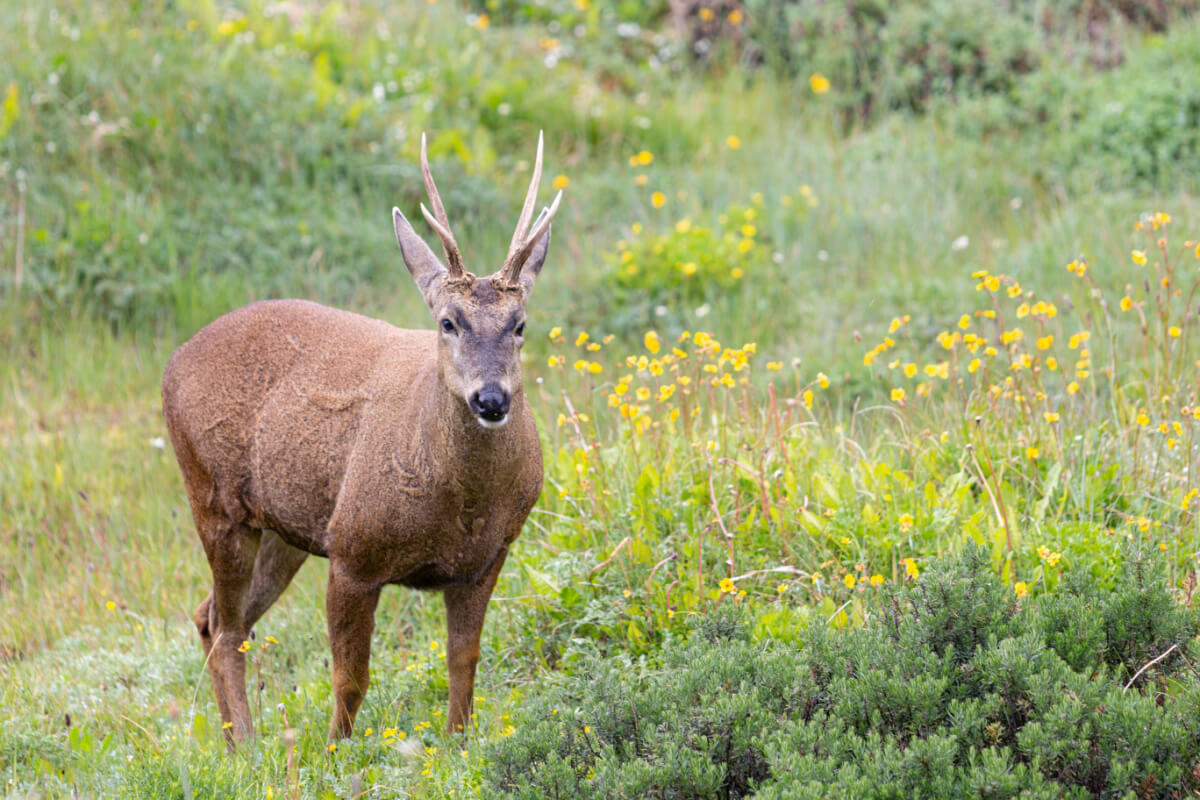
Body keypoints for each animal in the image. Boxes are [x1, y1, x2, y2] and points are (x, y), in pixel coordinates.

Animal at [158, 130, 561, 743]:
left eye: (520, 324)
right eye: (448, 322)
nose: (491, 399)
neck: (460, 504)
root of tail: (172, 363)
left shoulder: (485, 559)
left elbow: (463, 661)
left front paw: (458, 744)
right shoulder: (352, 551)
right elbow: (350, 678)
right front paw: (334, 752)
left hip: (284, 528)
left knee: (213, 618)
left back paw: (232, 743)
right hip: (214, 502)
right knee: (226, 628)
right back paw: (248, 746)